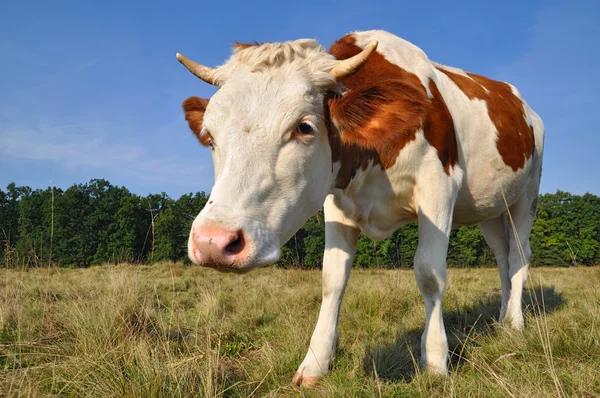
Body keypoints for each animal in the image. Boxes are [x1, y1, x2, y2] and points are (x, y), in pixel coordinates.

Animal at [177, 30, 544, 386]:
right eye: (210, 136)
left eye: (304, 127)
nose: (213, 242)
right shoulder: (335, 201)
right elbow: (333, 278)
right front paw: (315, 364)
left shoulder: (439, 186)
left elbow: (430, 273)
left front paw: (435, 361)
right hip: (490, 208)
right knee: (501, 257)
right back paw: (501, 318)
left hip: (526, 195)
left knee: (518, 256)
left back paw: (514, 324)